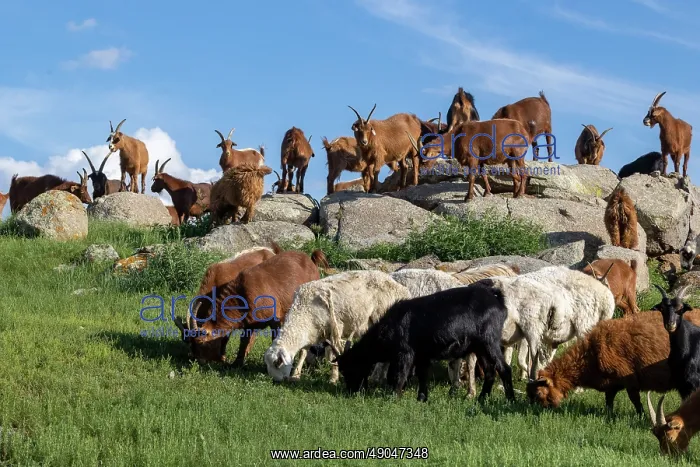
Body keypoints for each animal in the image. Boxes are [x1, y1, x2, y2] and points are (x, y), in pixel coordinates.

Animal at [174, 249, 329, 366]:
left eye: (200, 342)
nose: (198, 360)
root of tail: (310, 260)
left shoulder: (275, 319)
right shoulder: (248, 322)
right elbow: (244, 339)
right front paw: (237, 363)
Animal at [264, 270, 411, 384]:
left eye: (277, 363)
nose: (276, 381)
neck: (303, 312)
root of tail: (402, 289)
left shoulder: (335, 328)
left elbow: (331, 354)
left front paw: (333, 379)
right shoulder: (313, 332)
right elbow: (303, 353)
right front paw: (296, 375)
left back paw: (376, 378)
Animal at [333, 283, 516, 402]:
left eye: (349, 368)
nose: (351, 392)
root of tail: (497, 300)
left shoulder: (405, 352)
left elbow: (398, 375)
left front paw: (394, 397)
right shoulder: (422, 354)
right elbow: (422, 375)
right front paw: (421, 398)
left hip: (489, 341)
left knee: (504, 369)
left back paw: (510, 400)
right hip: (479, 347)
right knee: (491, 371)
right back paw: (481, 399)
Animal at [527, 309, 700, 415]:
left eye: (539, 393)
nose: (534, 412)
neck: (590, 354)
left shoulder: (629, 378)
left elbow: (635, 400)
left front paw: (642, 416)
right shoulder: (612, 383)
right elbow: (609, 401)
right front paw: (609, 416)